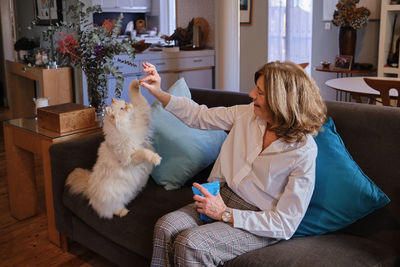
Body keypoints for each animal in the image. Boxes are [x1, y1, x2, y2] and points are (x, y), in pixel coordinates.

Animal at [65, 80, 160, 219]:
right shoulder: (129, 157)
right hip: (111, 199)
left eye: (125, 102)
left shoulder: (142, 115)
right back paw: (123, 212)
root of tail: (89, 186)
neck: (129, 125)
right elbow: (145, 153)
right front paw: (156, 158)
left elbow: (138, 98)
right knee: (109, 210)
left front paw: (136, 83)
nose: (128, 105)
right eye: (122, 109)